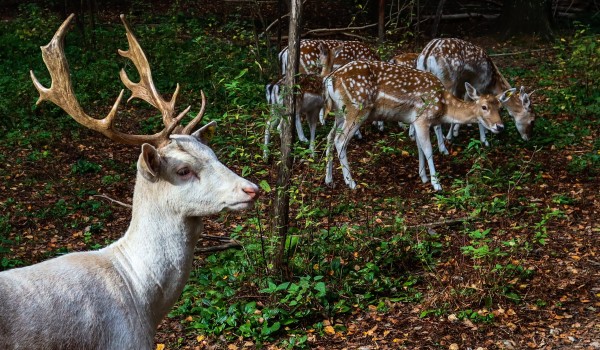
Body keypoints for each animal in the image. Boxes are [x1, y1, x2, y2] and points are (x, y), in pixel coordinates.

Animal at [322, 60, 512, 191]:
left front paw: (423, 177)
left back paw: (329, 179)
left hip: (339, 111)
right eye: (484, 107)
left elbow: (419, 147)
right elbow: (428, 149)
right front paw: (436, 184)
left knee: (330, 136)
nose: (500, 127)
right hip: (357, 108)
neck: (443, 106)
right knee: (340, 140)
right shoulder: (423, 118)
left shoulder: (415, 121)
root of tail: (330, 79)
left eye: (500, 107)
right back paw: (351, 182)